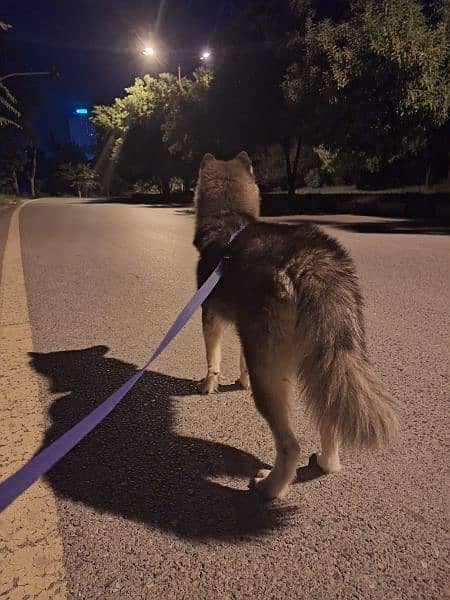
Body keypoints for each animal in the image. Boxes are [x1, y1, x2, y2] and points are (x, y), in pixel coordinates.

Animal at [193, 152, 398, 500]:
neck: (231, 219)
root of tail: (312, 261)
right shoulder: (247, 332)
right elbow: (240, 361)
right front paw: (239, 379)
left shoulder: (211, 315)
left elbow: (213, 358)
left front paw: (210, 384)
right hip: (324, 361)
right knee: (329, 418)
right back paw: (327, 462)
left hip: (271, 378)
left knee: (290, 446)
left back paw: (270, 487)